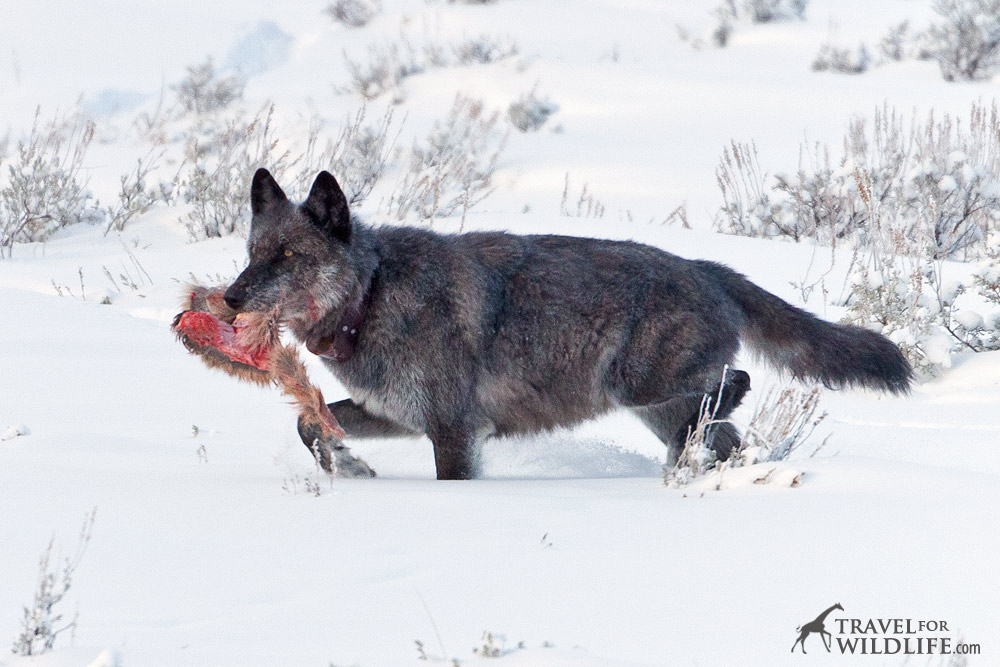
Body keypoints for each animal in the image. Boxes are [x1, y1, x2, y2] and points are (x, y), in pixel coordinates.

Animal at [223, 168, 912, 480]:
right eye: (254, 253)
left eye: (289, 258)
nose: (229, 299)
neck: (374, 294)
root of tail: (708, 268)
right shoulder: (396, 415)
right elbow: (308, 422)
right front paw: (351, 469)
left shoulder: (454, 430)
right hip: (650, 404)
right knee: (718, 432)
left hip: (635, 388)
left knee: (735, 386)